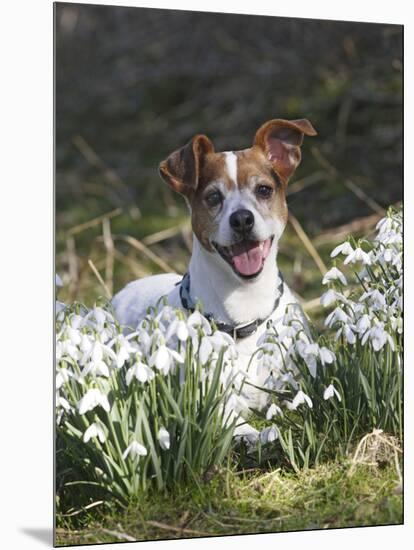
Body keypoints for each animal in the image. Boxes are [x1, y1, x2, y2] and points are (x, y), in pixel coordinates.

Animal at [111, 118, 316, 442]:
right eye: (213, 197)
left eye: (264, 190)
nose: (242, 219)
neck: (244, 312)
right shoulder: (214, 403)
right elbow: (238, 423)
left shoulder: (296, 381)